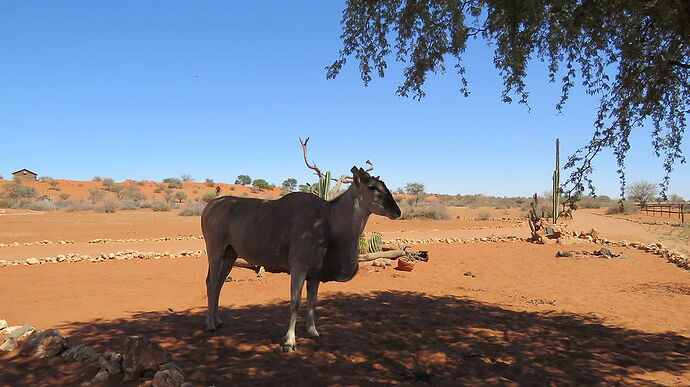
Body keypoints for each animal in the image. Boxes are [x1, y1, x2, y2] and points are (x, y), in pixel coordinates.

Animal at [200, 165, 398, 354]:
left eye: (384, 185)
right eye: (372, 187)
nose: (397, 211)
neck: (328, 219)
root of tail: (210, 206)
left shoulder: (315, 274)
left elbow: (312, 302)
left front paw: (313, 331)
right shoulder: (299, 268)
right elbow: (295, 303)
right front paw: (289, 342)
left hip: (230, 255)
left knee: (219, 283)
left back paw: (218, 320)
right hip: (215, 251)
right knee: (211, 282)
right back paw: (210, 324)